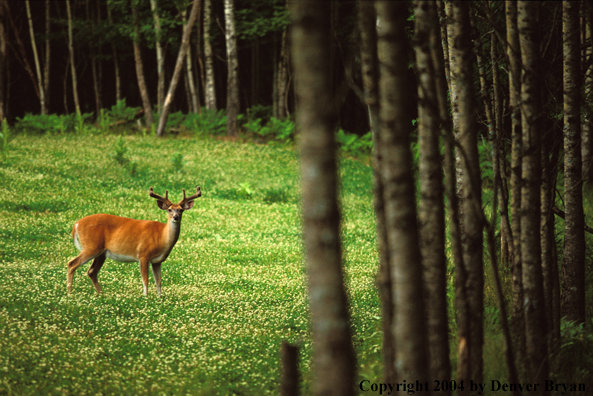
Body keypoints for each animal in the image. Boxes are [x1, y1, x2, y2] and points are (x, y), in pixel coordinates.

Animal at [66, 187, 201, 296]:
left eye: (181, 210)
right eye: (169, 209)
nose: (176, 217)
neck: (161, 238)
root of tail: (76, 224)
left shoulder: (157, 261)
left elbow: (159, 281)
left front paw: (160, 299)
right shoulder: (143, 254)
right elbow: (145, 280)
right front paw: (146, 298)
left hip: (101, 253)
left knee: (91, 272)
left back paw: (101, 295)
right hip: (91, 246)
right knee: (72, 263)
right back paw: (70, 294)